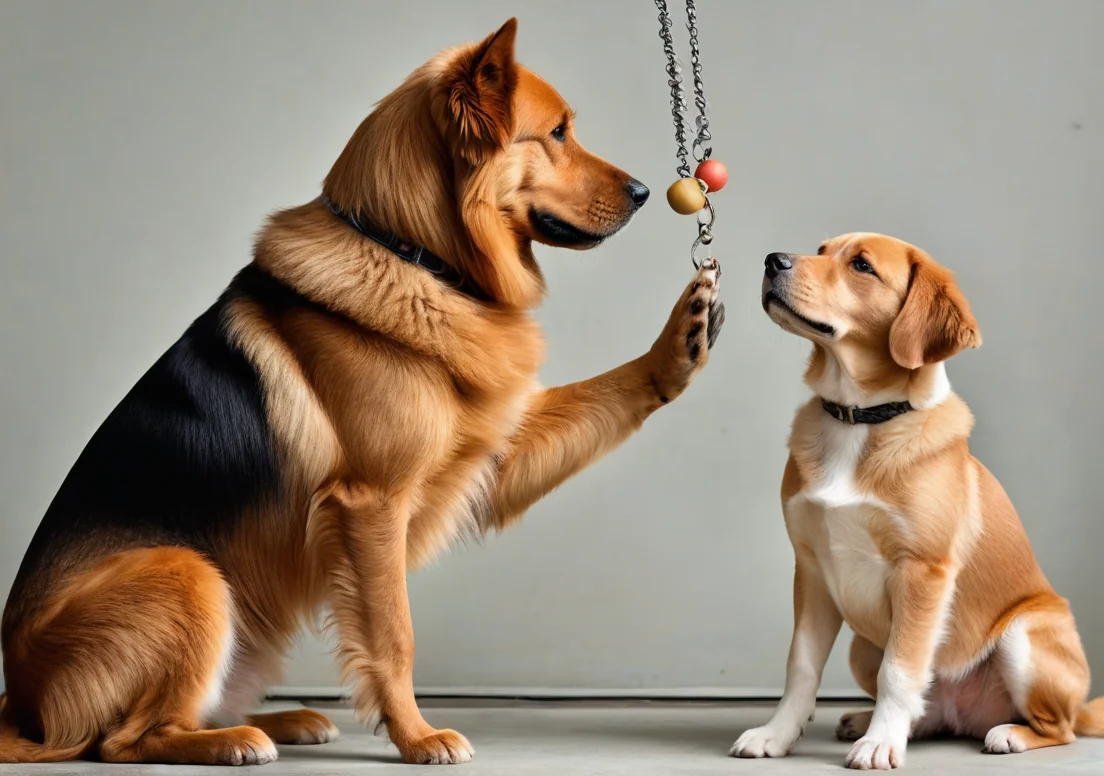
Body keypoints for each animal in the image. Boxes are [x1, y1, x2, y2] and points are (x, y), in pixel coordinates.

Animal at [0, 21, 724, 768]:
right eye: (555, 133)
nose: (645, 190)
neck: (413, 254)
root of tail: (19, 703)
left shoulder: (489, 460)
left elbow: (618, 386)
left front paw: (680, 343)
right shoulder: (371, 506)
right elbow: (394, 637)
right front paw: (417, 736)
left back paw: (284, 720)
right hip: (189, 573)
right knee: (124, 741)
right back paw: (237, 740)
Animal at [733, 234, 1104, 768]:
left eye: (861, 265)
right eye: (821, 249)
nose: (772, 261)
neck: (861, 420)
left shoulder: (922, 573)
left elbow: (900, 670)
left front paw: (881, 745)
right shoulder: (812, 570)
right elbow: (801, 666)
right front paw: (776, 734)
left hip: (1024, 636)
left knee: (1062, 728)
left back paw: (1009, 733)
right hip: (861, 647)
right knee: (925, 711)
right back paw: (868, 721)